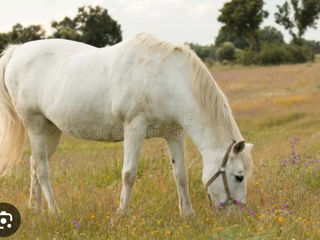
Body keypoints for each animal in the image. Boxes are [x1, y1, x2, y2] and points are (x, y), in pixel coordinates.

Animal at [0, 34, 252, 218]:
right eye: (239, 176)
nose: (239, 215)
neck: (166, 79)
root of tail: (18, 51)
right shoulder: (134, 129)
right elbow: (128, 174)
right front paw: (121, 214)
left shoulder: (174, 134)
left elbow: (180, 174)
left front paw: (188, 215)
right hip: (34, 124)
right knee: (42, 170)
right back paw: (54, 211)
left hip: (51, 129)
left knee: (34, 164)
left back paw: (35, 208)